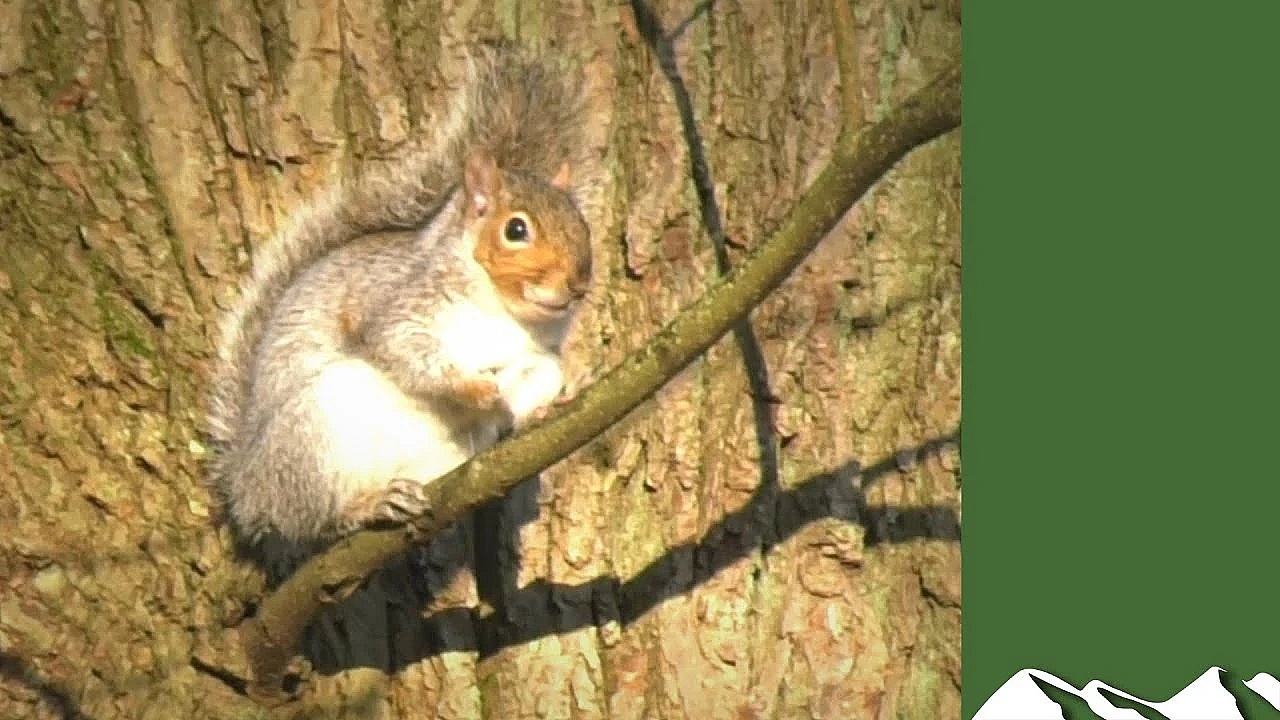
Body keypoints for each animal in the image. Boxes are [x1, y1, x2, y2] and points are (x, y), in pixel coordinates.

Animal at [204, 42, 602, 577]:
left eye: (582, 224)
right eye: (516, 230)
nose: (579, 283)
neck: (508, 314)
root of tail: (246, 487)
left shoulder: (536, 357)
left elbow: (536, 381)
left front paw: (552, 405)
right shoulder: (397, 304)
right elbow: (405, 350)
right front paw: (473, 388)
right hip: (315, 434)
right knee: (312, 523)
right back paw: (364, 507)